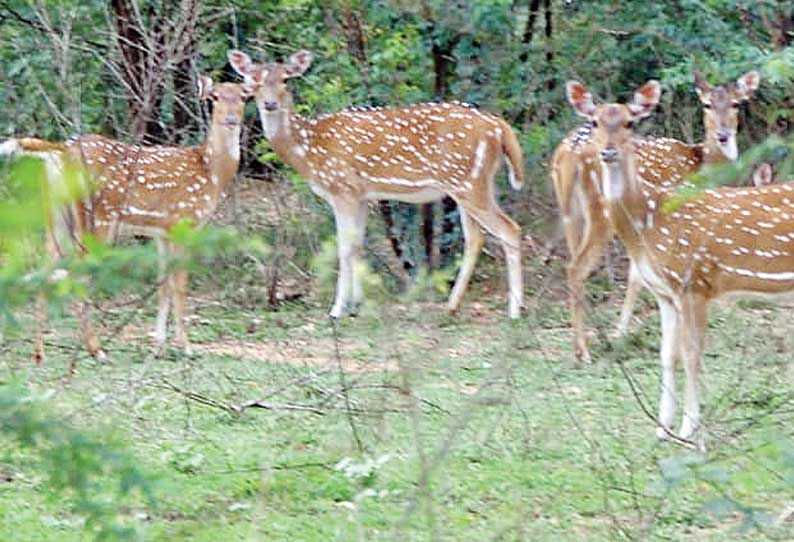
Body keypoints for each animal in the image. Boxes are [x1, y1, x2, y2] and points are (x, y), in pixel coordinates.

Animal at [1, 76, 249, 364]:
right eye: (215, 97)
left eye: (243, 96)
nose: (231, 119)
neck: (212, 173)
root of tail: (62, 150)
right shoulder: (184, 221)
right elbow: (179, 285)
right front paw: (185, 347)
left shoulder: (162, 231)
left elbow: (163, 285)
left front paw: (158, 347)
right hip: (96, 217)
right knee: (79, 272)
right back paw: (96, 349)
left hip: (56, 215)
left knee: (47, 267)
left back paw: (40, 353)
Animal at [226, 49, 524, 320]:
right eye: (253, 80)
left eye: (286, 79)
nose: (270, 104)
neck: (309, 151)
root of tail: (499, 127)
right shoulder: (362, 195)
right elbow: (357, 246)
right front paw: (358, 305)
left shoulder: (342, 188)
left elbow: (344, 247)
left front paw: (337, 310)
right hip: (475, 183)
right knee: (476, 237)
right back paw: (452, 306)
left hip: (468, 183)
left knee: (510, 229)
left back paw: (514, 311)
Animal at [548, 69, 756, 366]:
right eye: (706, 104)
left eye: (737, 103)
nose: (723, 135)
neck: (703, 165)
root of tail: (567, 155)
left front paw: (621, 332)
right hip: (601, 212)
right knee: (578, 267)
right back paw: (584, 351)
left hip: (570, 212)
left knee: (572, 263)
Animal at [568, 77, 792, 450]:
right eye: (596, 121)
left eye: (629, 122)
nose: (608, 152)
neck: (650, 223)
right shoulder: (665, 293)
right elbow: (667, 355)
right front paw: (662, 428)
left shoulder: (695, 282)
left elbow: (692, 355)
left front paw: (691, 431)